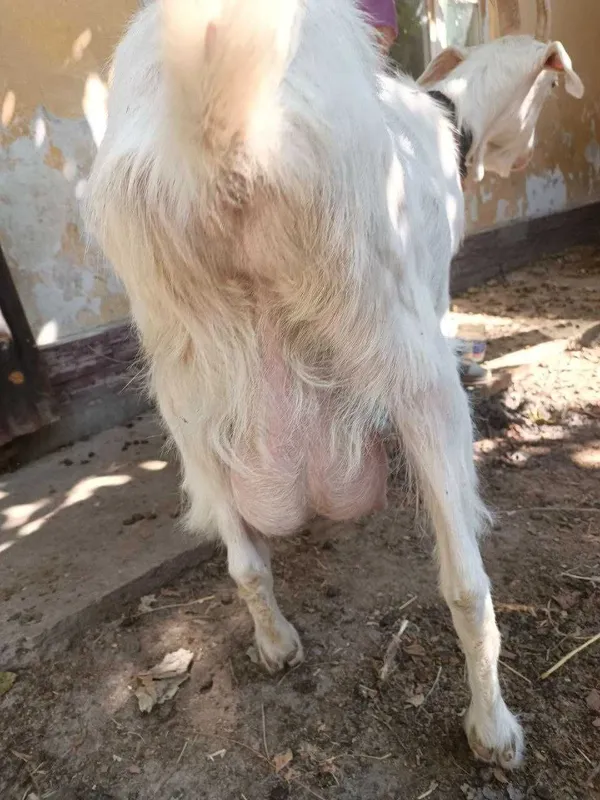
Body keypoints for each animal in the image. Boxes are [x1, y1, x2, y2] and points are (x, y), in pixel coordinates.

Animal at [84, 0, 583, 767]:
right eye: (552, 88)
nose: (524, 160)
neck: (449, 116)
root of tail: (222, 144)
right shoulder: (434, 287)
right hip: (409, 358)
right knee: (466, 587)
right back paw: (493, 729)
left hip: (185, 390)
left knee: (243, 561)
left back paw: (275, 643)